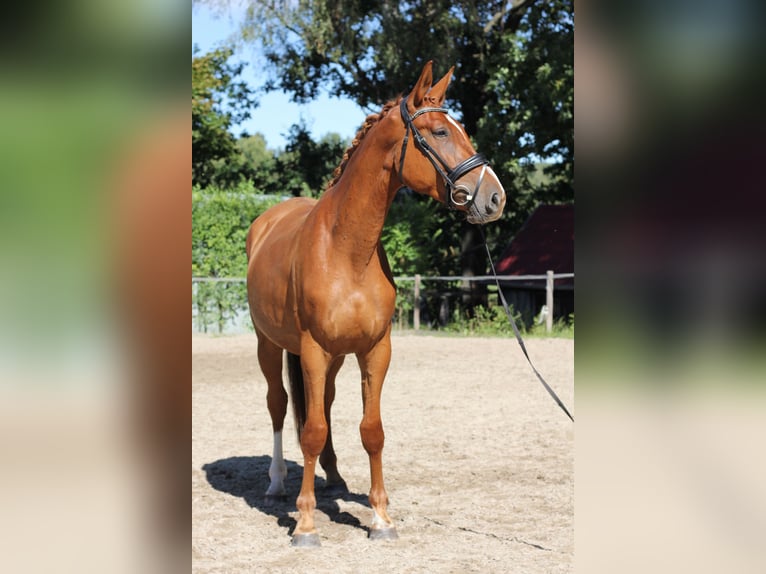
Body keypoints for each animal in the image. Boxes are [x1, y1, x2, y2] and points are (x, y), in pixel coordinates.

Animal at [245, 61, 506, 547]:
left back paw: (333, 478)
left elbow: (371, 430)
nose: (494, 197)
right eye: (439, 131)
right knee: (279, 404)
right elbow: (310, 432)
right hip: (269, 345)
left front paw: (381, 518)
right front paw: (305, 524)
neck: (347, 249)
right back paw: (276, 483)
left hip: (333, 359)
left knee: (324, 405)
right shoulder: (311, 349)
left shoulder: (375, 350)